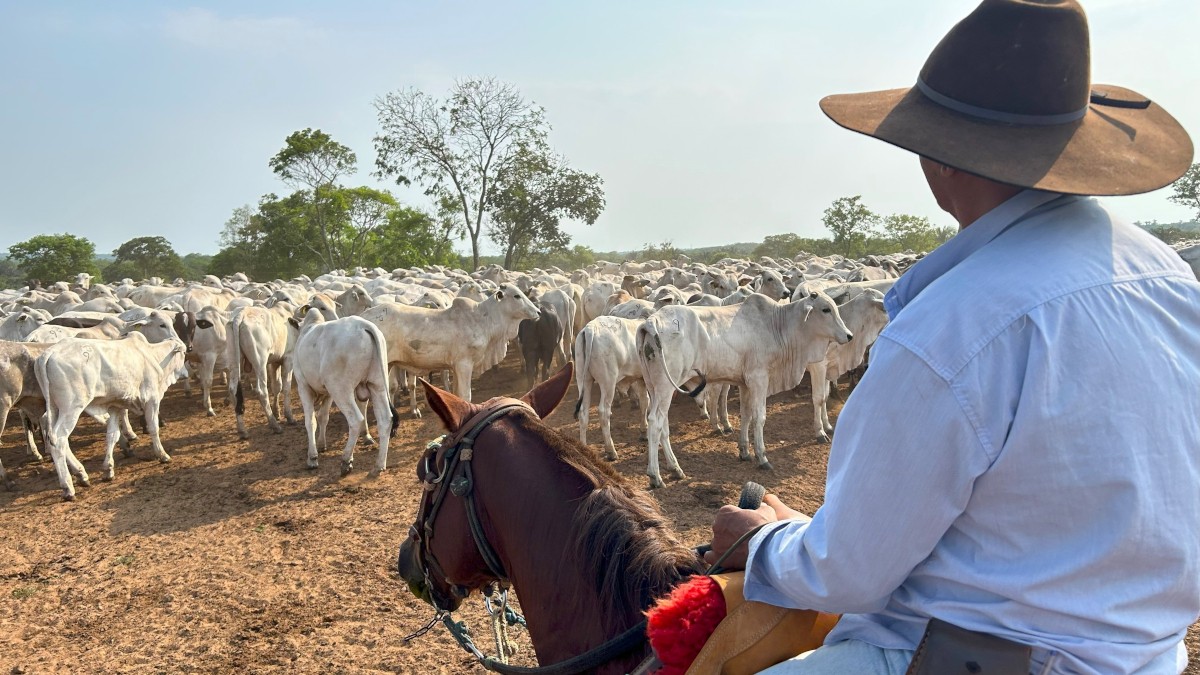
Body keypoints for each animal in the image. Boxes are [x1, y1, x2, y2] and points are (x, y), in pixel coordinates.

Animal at [35, 331, 187, 499]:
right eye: (184, 353)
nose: (186, 374)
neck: (152, 355)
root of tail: (49, 353)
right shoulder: (151, 399)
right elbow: (153, 428)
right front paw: (162, 455)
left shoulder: (115, 406)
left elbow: (112, 435)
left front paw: (108, 470)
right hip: (72, 408)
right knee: (59, 441)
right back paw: (68, 487)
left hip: (54, 408)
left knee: (55, 438)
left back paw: (81, 475)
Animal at [291, 309, 396, 473]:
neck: (307, 329)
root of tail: (363, 325)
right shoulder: (327, 393)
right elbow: (323, 417)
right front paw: (321, 445)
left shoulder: (304, 386)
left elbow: (310, 421)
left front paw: (312, 457)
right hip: (377, 384)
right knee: (385, 419)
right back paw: (379, 465)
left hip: (341, 390)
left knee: (356, 420)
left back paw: (346, 460)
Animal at [638, 291, 854, 485]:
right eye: (825, 309)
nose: (849, 335)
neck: (777, 325)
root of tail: (651, 321)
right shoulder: (759, 378)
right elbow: (759, 417)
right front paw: (762, 457)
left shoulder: (744, 383)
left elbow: (746, 415)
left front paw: (744, 451)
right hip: (666, 386)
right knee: (655, 422)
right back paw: (655, 475)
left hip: (655, 387)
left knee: (662, 425)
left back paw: (675, 468)